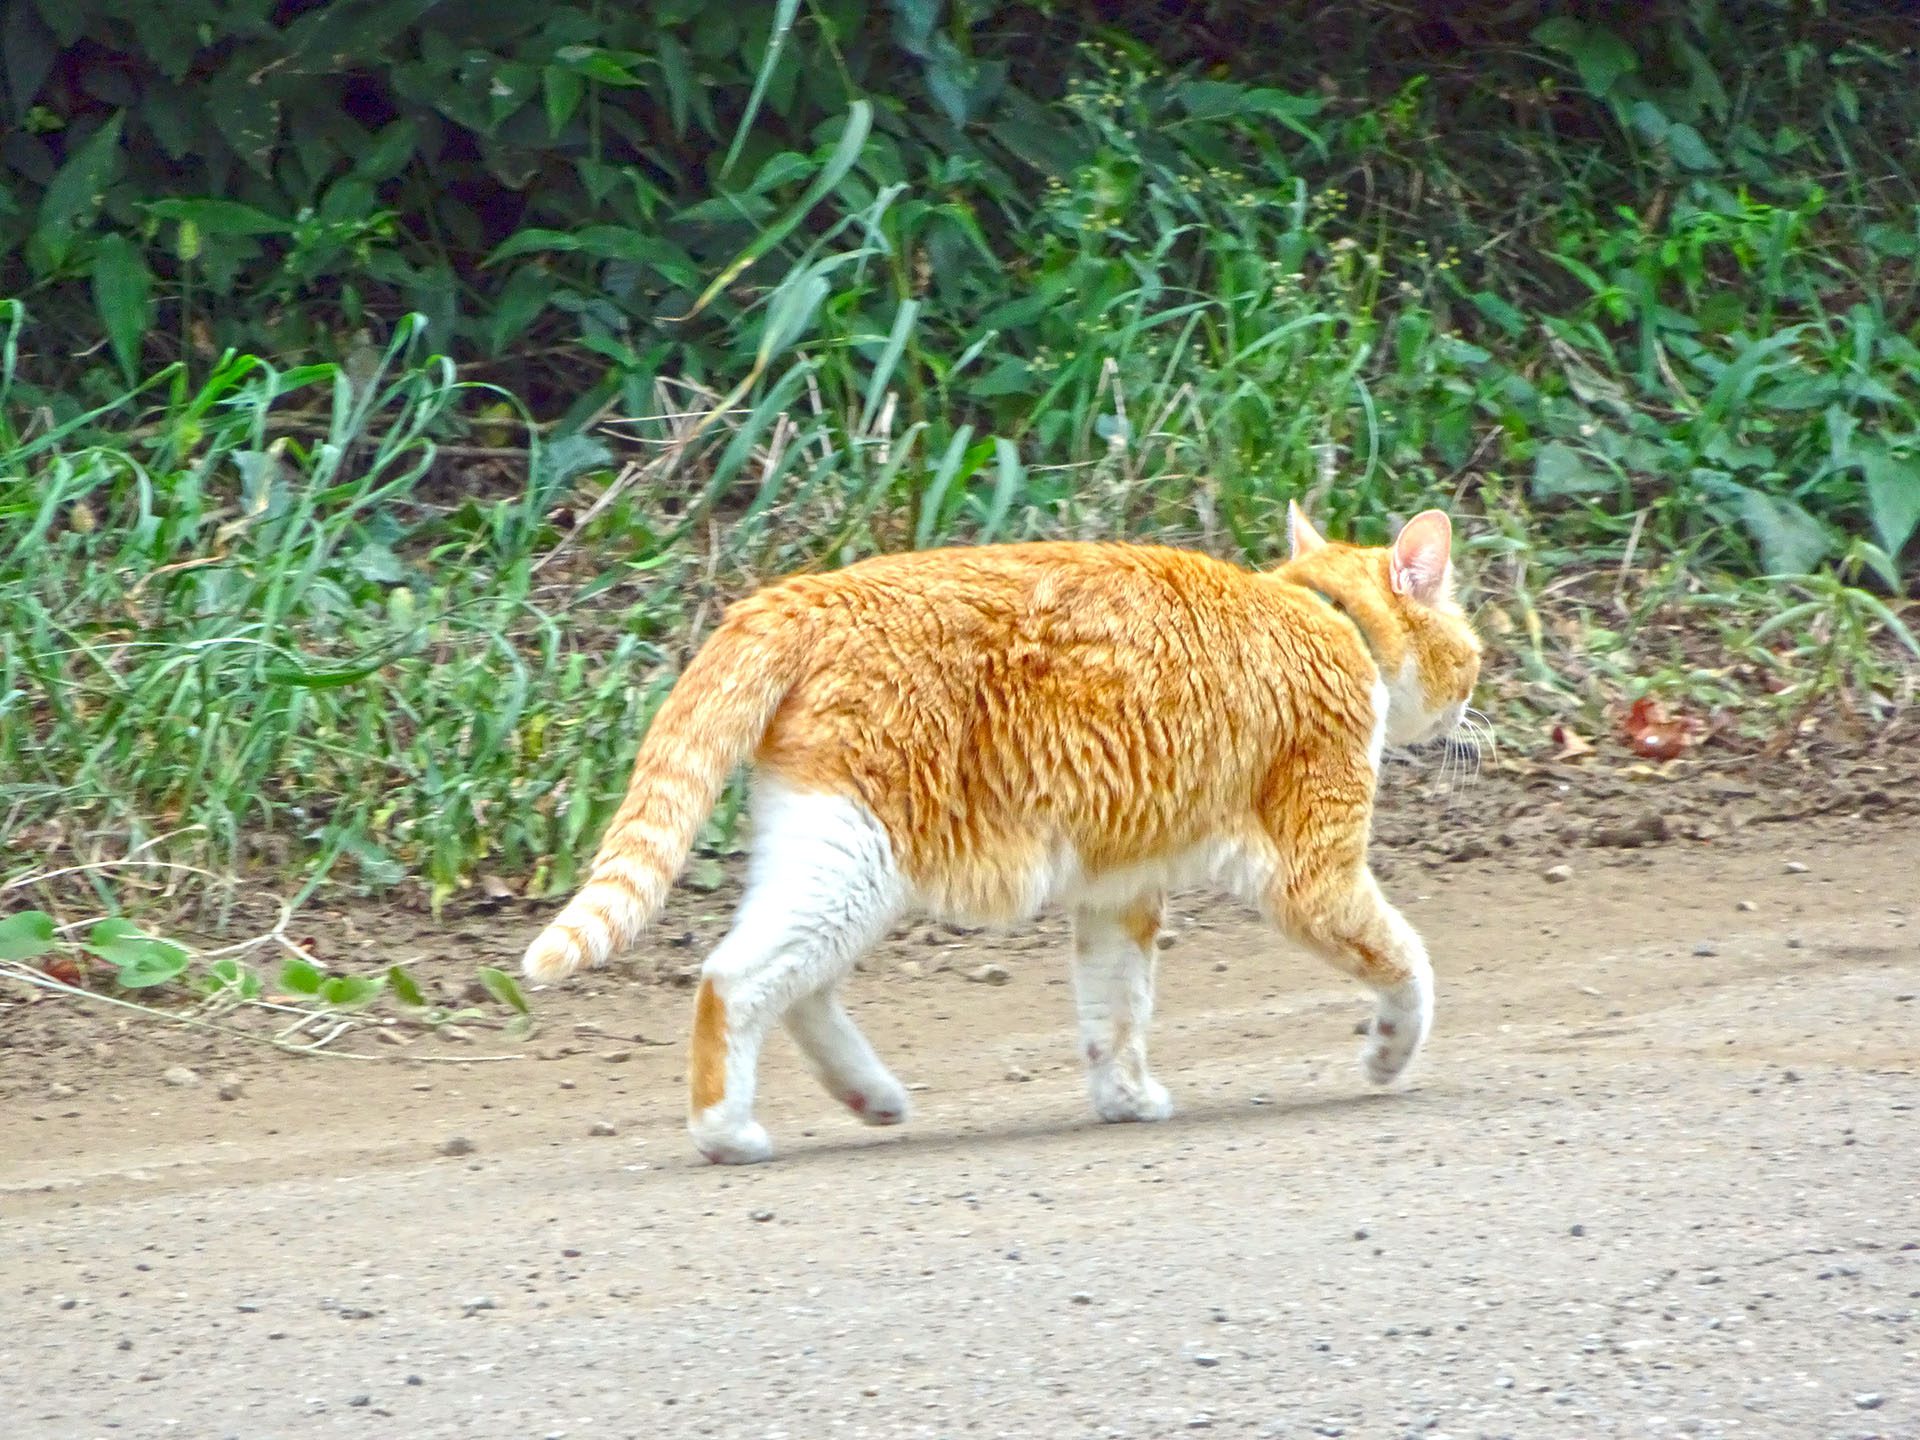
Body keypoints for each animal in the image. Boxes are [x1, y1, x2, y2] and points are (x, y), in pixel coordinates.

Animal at [526, 503, 1482, 1167]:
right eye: (1471, 653)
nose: (1473, 708)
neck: (1323, 612)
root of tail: (804, 590)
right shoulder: (1314, 876)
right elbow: (1409, 965)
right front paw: (1389, 1054)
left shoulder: (1118, 891)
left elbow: (1114, 1009)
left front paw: (1124, 1098)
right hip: (860, 859)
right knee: (734, 979)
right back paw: (727, 1132)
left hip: (825, 851)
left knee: (796, 985)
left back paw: (868, 1095)